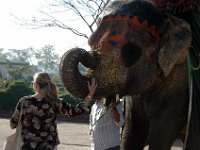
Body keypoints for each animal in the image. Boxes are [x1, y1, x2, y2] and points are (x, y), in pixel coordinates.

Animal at [59, 0, 200, 150]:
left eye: (131, 53)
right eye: (92, 42)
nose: (93, 54)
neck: (169, 18)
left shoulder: (180, 86)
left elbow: (161, 133)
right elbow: (132, 130)